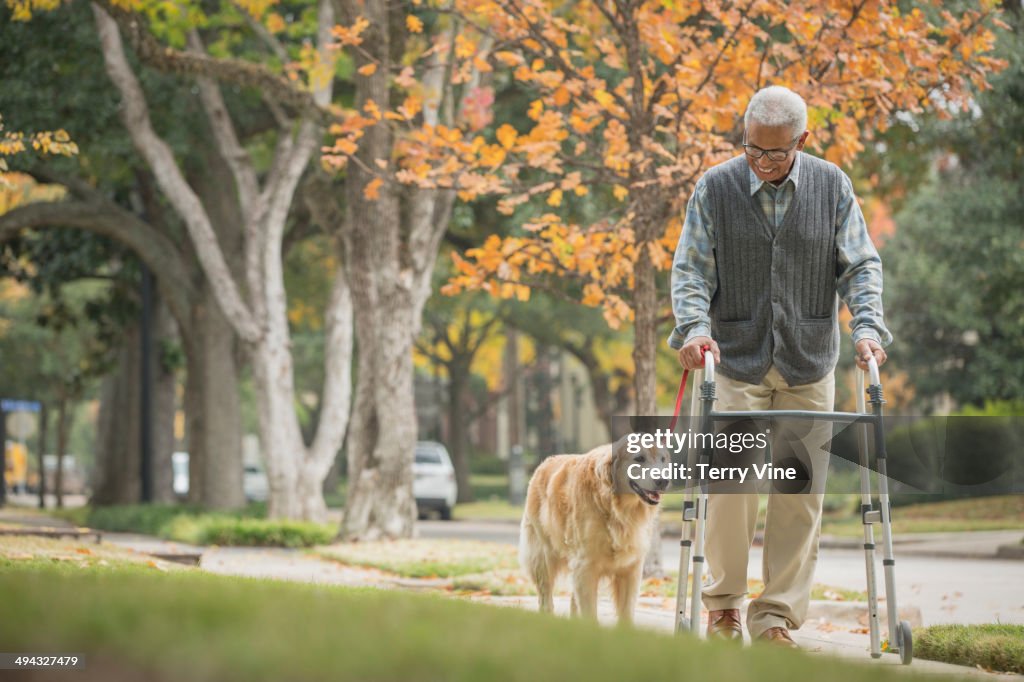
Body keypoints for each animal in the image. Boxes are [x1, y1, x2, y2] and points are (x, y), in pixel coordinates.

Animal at [520, 438, 671, 622]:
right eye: (639, 458)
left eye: (663, 459)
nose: (663, 481)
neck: (616, 509)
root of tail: (544, 463)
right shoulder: (586, 566)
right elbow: (589, 611)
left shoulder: (631, 569)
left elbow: (626, 612)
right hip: (543, 557)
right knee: (545, 597)